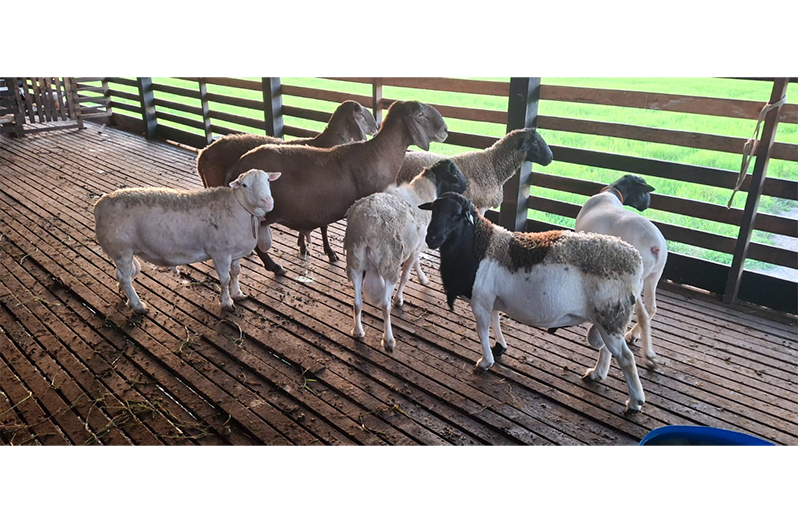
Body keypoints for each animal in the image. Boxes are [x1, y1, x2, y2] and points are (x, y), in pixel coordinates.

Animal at [94, 169, 281, 314]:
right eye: (245, 185)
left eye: (267, 179)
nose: (267, 201)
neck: (239, 208)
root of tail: (101, 203)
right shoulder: (220, 252)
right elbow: (225, 278)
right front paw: (227, 302)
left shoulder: (235, 252)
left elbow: (235, 272)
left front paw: (238, 294)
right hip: (121, 249)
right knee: (125, 277)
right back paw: (138, 305)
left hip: (125, 251)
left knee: (125, 274)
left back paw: (126, 296)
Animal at [197, 100, 379, 263]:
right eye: (362, 114)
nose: (377, 127)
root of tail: (203, 154)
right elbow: (323, 225)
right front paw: (329, 252)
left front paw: (303, 245)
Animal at [344, 159, 467, 351]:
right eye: (455, 173)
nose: (466, 185)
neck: (423, 192)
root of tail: (367, 227)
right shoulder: (415, 248)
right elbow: (406, 275)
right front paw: (399, 299)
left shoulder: (413, 245)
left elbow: (415, 264)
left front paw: (423, 279)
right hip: (389, 262)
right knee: (385, 305)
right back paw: (388, 340)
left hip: (355, 261)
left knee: (357, 303)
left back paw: (358, 332)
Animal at [420, 193, 647, 414]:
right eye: (434, 210)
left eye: (456, 215)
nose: (431, 239)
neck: (481, 246)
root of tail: (636, 260)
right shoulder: (492, 299)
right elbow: (496, 321)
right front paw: (500, 347)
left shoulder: (480, 300)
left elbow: (482, 331)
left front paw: (485, 362)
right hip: (610, 318)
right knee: (609, 350)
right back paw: (596, 374)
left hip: (610, 315)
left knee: (626, 358)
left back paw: (634, 403)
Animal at [575, 174, 666, 370]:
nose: (648, 204)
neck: (610, 194)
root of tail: (655, 247)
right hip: (654, 275)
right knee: (651, 307)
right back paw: (635, 339)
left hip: (634, 278)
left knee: (641, 313)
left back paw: (647, 354)